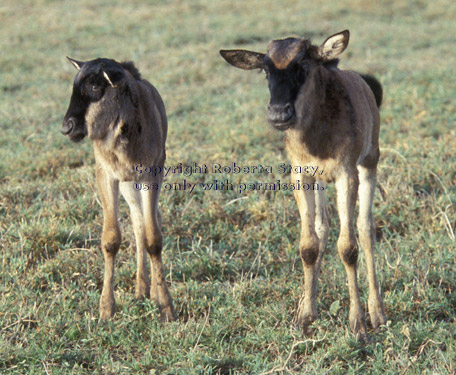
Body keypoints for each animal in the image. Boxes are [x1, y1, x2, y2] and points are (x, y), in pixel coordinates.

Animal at [60, 57, 175, 322]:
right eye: (74, 85)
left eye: (94, 86)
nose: (67, 127)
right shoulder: (106, 175)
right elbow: (111, 239)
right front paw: (106, 309)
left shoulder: (152, 173)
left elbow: (154, 239)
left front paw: (166, 306)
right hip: (127, 185)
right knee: (138, 222)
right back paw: (141, 290)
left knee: (148, 222)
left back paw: (151, 291)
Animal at [221, 30, 384, 342]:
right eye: (265, 69)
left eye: (304, 64)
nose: (278, 114)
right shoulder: (302, 176)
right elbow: (309, 245)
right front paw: (305, 317)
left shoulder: (347, 175)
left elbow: (348, 247)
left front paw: (357, 324)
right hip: (321, 182)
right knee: (322, 227)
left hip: (369, 163)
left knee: (365, 228)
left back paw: (377, 313)